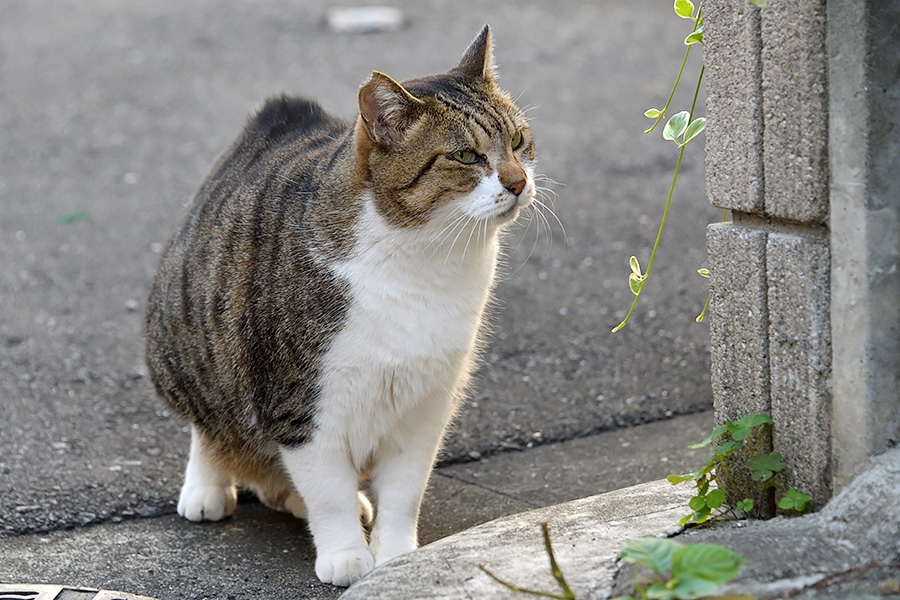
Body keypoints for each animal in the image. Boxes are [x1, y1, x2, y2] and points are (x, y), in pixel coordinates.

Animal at [145, 24, 536, 584]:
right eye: (466, 156)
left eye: (519, 141)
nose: (519, 182)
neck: (427, 262)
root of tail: (277, 115)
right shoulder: (302, 404)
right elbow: (327, 491)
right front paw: (347, 555)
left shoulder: (427, 406)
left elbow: (404, 492)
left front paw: (397, 556)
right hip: (191, 355)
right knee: (212, 431)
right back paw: (208, 487)